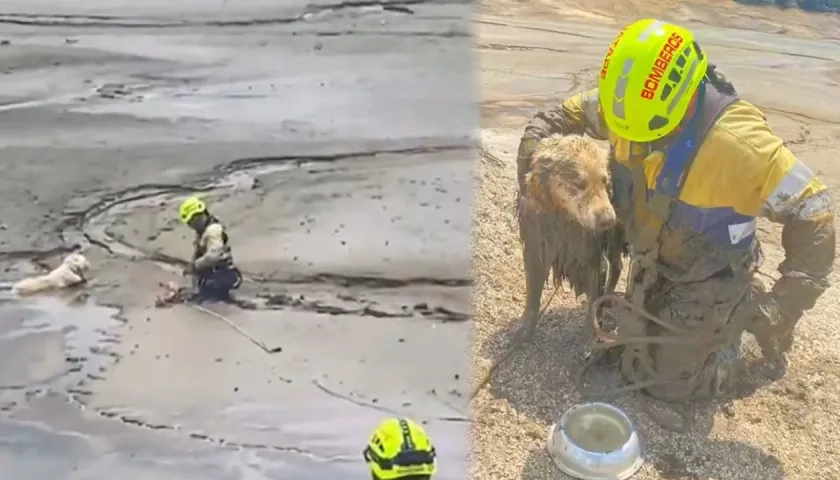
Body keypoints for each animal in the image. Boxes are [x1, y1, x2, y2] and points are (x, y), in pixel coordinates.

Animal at [512, 133, 624, 340]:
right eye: (579, 183)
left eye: (604, 181)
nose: (609, 220)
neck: (564, 220)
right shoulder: (535, 247)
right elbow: (532, 291)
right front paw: (524, 327)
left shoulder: (592, 256)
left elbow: (592, 302)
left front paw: (593, 334)